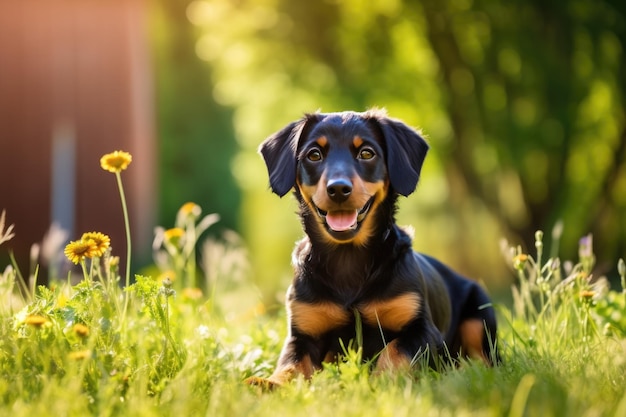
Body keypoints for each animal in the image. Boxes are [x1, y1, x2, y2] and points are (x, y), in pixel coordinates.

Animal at [246, 108, 494, 386]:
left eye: (366, 153)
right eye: (314, 154)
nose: (338, 189)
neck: (348, 258)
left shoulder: (423, 331)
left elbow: (394, 350)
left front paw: (379, 380)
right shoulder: (301, 334)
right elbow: (291, 363)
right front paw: (269, 383)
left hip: (480, 315)